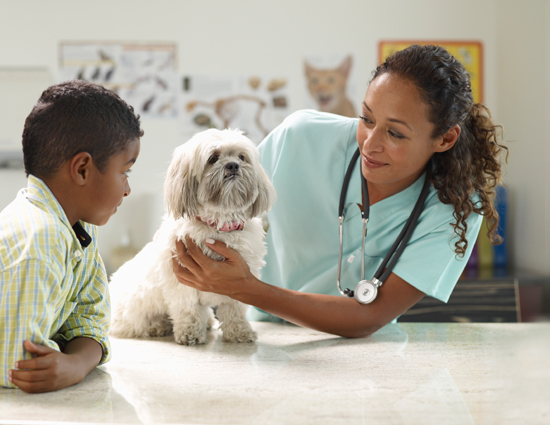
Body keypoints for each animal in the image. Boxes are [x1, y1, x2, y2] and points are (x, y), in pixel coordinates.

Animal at [109, 129, 276, 344]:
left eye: (241, 156)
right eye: (213, 158)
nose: (233, 165)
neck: (218, 226)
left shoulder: (241, 277)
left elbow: (235, 308)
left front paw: (239, 332)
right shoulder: (181, 279)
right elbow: (187, 308)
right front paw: (190, 333)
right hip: (134, 309)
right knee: (132, 325)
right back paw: (157, 326)